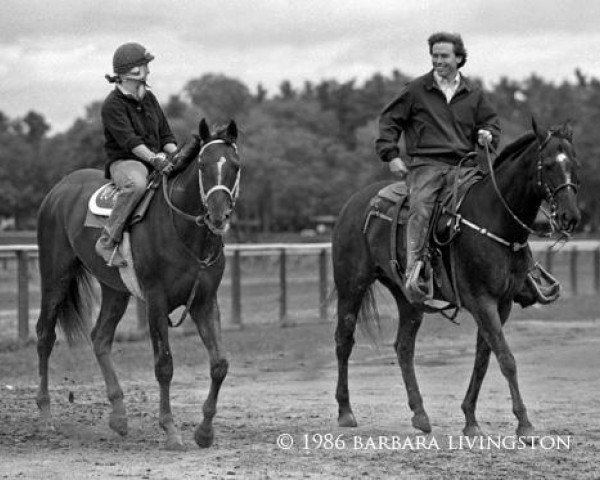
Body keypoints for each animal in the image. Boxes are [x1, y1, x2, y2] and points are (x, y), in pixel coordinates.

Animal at [35, 118, 240, 448]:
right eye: (202, 165)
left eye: (235, 165)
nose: (217, 214)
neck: (183, 230)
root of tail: (59, 189)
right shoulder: (155, 300)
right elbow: (164, 365)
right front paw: (170, 430)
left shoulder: (205, 301)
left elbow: (219, 364)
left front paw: (204, 431)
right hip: (55, 275)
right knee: (45, 335)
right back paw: (45, 417)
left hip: (114, 290)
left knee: (100, 337)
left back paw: (119, 417)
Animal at [332, 119, 580, 438]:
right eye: (548, 165)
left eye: (574, 163)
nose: (570, 216)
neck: (495, 219)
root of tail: (353, 203)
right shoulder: (482, 302)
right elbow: (506, 359)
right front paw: (524, 424)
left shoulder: (501, 304)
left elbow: (483, 360)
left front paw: (470, 420)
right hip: (352, 285)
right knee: (344, 340)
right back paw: (345, 411)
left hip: (409, 298)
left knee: (404, 348)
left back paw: (420, 414)